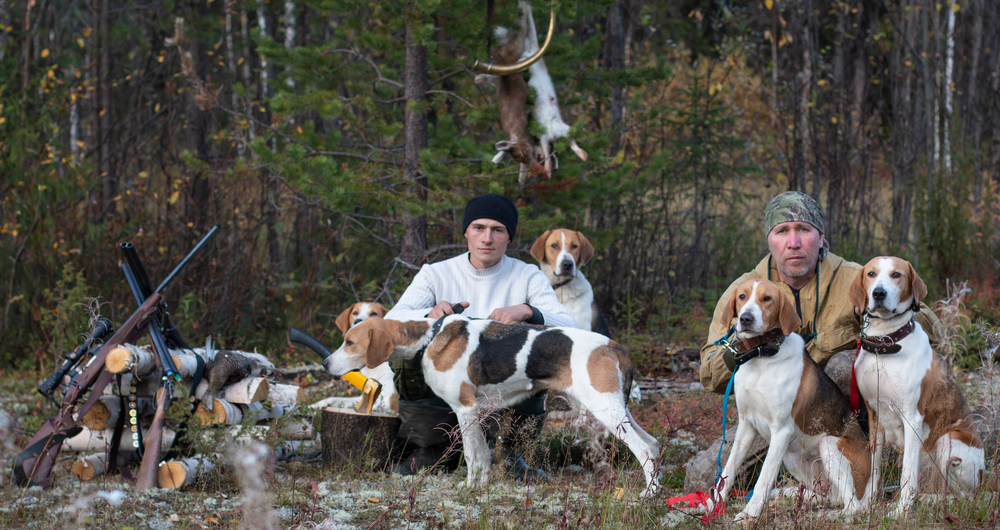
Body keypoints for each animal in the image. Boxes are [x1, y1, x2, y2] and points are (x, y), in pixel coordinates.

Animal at [324, 312, 660, 492]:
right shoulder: (478, 413)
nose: (326, 363)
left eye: (349, 343)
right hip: (619, 410)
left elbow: (472, 455)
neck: (428, 337)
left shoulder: (466, 409)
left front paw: (470, 487)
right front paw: (481, 486)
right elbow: (483, 455)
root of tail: (615, 346)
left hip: (606, 410)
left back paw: (647, 497)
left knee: (643, 450)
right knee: (653, 445)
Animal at [712, 278, 876, 516]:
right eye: (742, 296)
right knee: (831, 497)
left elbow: (763, 480)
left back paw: (827, 515)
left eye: (767, 298)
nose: (746, 319)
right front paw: (711, 505)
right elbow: (729, 468)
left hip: (826, 444)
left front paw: (748, 515)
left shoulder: (781, 431)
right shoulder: (746, 425)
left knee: (853, 507)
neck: (760, 357)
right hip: (791, 457)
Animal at [852, 256, 984, 516]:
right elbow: (874, 469)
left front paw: (900, 512)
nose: (879, 293)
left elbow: (907, 474)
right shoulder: (874, 415)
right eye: (871, 274)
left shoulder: (911, 418)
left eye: (896, 274)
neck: (885, 344)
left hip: (948, 440)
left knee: (964, 498)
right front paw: (865, 505)